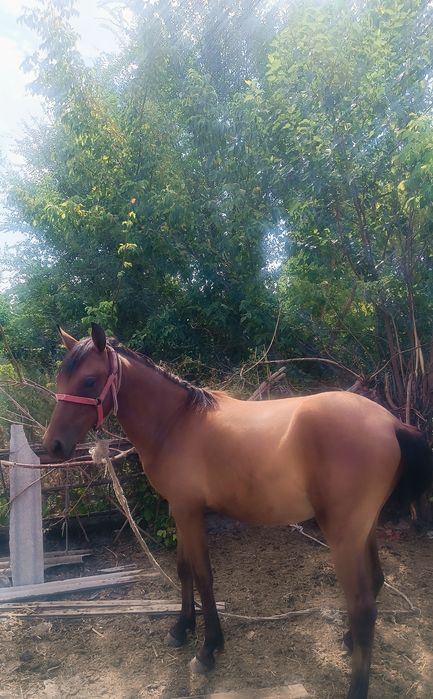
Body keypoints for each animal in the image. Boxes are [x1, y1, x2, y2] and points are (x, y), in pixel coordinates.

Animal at [43, 323, 433, 699]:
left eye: (89, 380)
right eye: (60, 378)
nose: (53, 446)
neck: (176, 423)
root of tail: (390, 422)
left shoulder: (189, 512)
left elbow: (203, 575)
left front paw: (208, 649)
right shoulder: (180, 509)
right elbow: (184, 570)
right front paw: (181, 629)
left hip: (343, 536)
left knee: (362, 608)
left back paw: (356, 686)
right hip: (364, 528)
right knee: (376, 581)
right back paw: (350, 641)